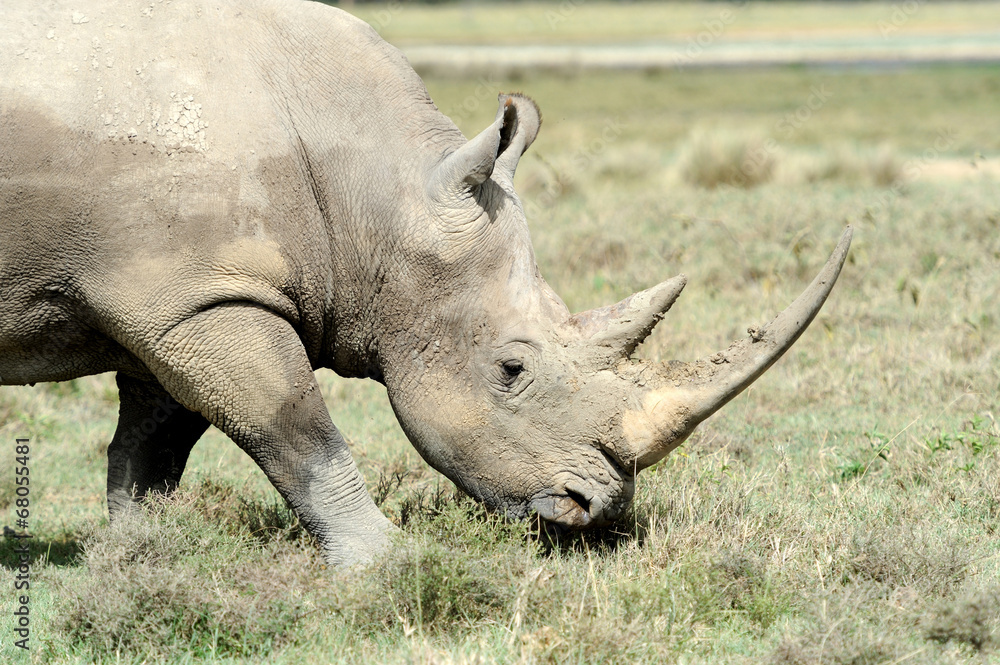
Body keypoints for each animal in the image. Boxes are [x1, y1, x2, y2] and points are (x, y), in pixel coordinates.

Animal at [0, 0, 851, 564]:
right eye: (511, 369)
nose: (598, 511)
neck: (378, 194)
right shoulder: (198, 299)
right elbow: (293, 425)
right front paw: (388, 561)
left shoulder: (182, 296)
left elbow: (152, 447)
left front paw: (140, 552)